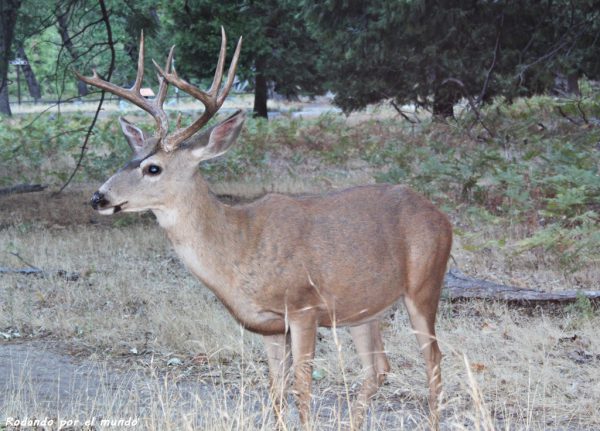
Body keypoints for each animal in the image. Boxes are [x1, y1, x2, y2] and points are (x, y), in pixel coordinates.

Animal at [79, 28, 452, 430]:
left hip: (425, 283)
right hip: (362, 309)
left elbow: (302, 387)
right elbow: (275, 389)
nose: (98, 197)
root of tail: (441, 216)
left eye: (153, 168)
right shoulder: (269, 327)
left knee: (434, 360)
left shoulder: (303, 307)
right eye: (128, 157)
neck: (240, 245)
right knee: (379, 367)